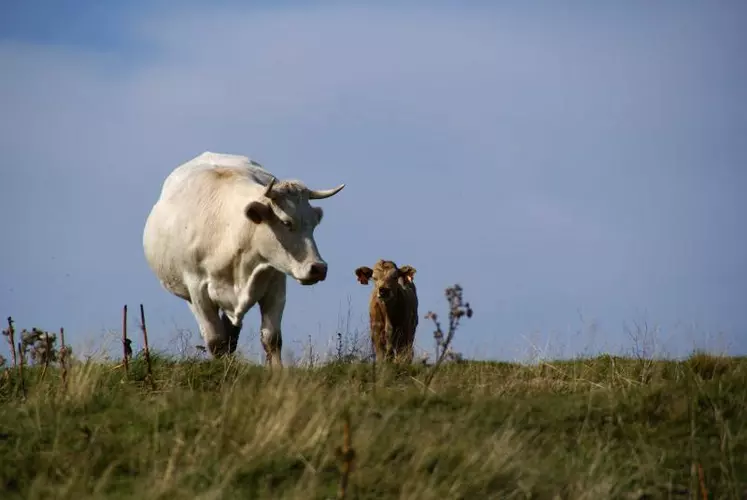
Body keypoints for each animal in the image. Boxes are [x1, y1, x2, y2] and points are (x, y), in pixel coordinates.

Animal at [142, 150, 346, 366]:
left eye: (314, 223)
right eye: (286, 222)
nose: (318, 268)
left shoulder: (276, 283)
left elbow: (271, 338)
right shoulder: (197, 288)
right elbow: (215, 341)